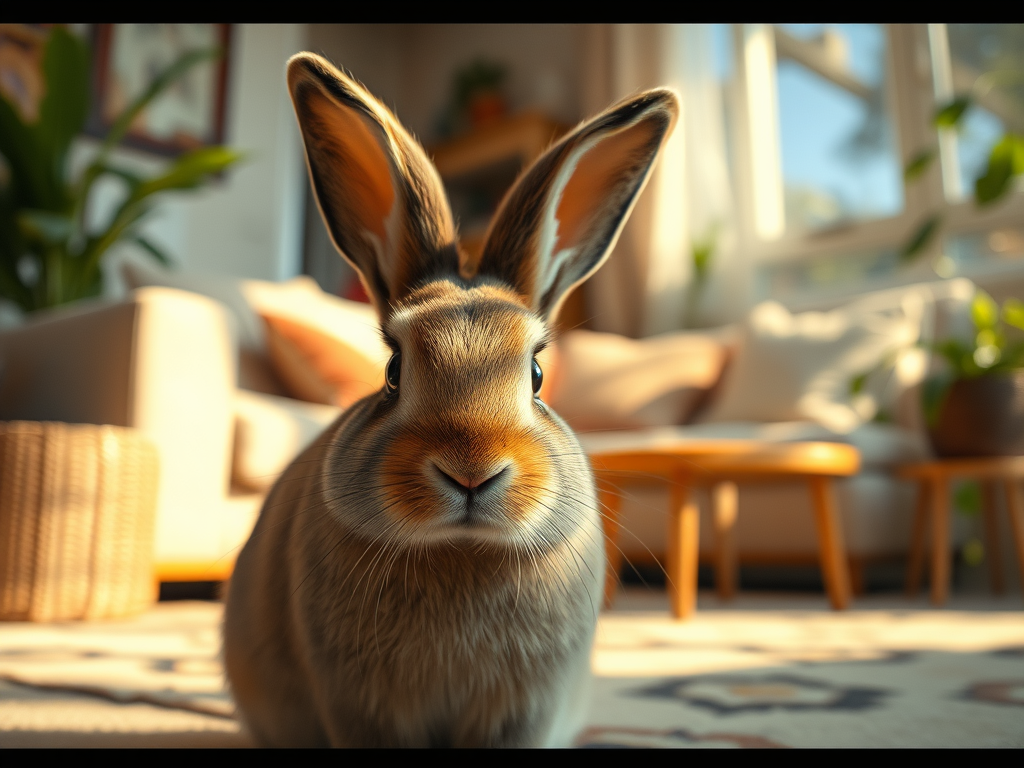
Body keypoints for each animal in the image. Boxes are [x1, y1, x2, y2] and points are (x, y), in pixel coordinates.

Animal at [222, 52, 678, 748]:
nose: (471, 471)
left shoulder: (523, 712)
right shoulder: (359, 707)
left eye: (537, 373)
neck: (460, 550)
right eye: (391, 369)